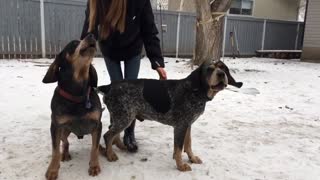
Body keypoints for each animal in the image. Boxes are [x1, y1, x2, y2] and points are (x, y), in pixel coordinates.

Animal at [42, 33, 102, 179]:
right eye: (74, 43)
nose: (92, 35)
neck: (77, 95)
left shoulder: (97, 125)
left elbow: (94, 148)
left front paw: (94, 166)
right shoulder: (55, 127)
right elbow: (55, 150)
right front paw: (52, 170)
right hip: (64, 131)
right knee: (66, 142)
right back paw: (65, 154)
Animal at [97, 60, 242, 172]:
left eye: (223, 68)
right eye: (209, 69)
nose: (221, 74)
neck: (195, 91)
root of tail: (108, 86)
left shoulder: (187, 124)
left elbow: (188, 144)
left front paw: (192, 158)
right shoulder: (180, 126)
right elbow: (178, 148)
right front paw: (181, 166)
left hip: (124, 117)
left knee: (113, 134)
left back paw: (120, 147)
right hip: (124, 117)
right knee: (108, 135)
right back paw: (110, 155)